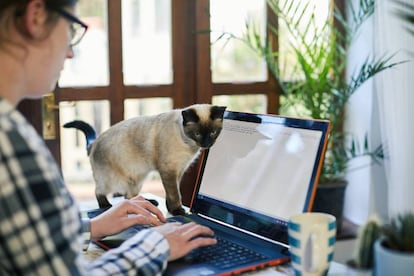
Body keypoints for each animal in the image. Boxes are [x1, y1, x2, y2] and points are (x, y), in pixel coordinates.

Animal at [64, 104, 226, 216]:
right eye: (197, 134)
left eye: (213, 132)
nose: (206, 144)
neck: (189, 145)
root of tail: (94, 142)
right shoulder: (169, 170)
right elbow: (174, 194)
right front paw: (177, 210)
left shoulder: (179, 171)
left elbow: (171, 193)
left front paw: (170, 209)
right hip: (113, 180)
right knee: (100, 191)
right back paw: (107, 206)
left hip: (138, 179)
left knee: (129, 196)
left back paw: (147, 203)